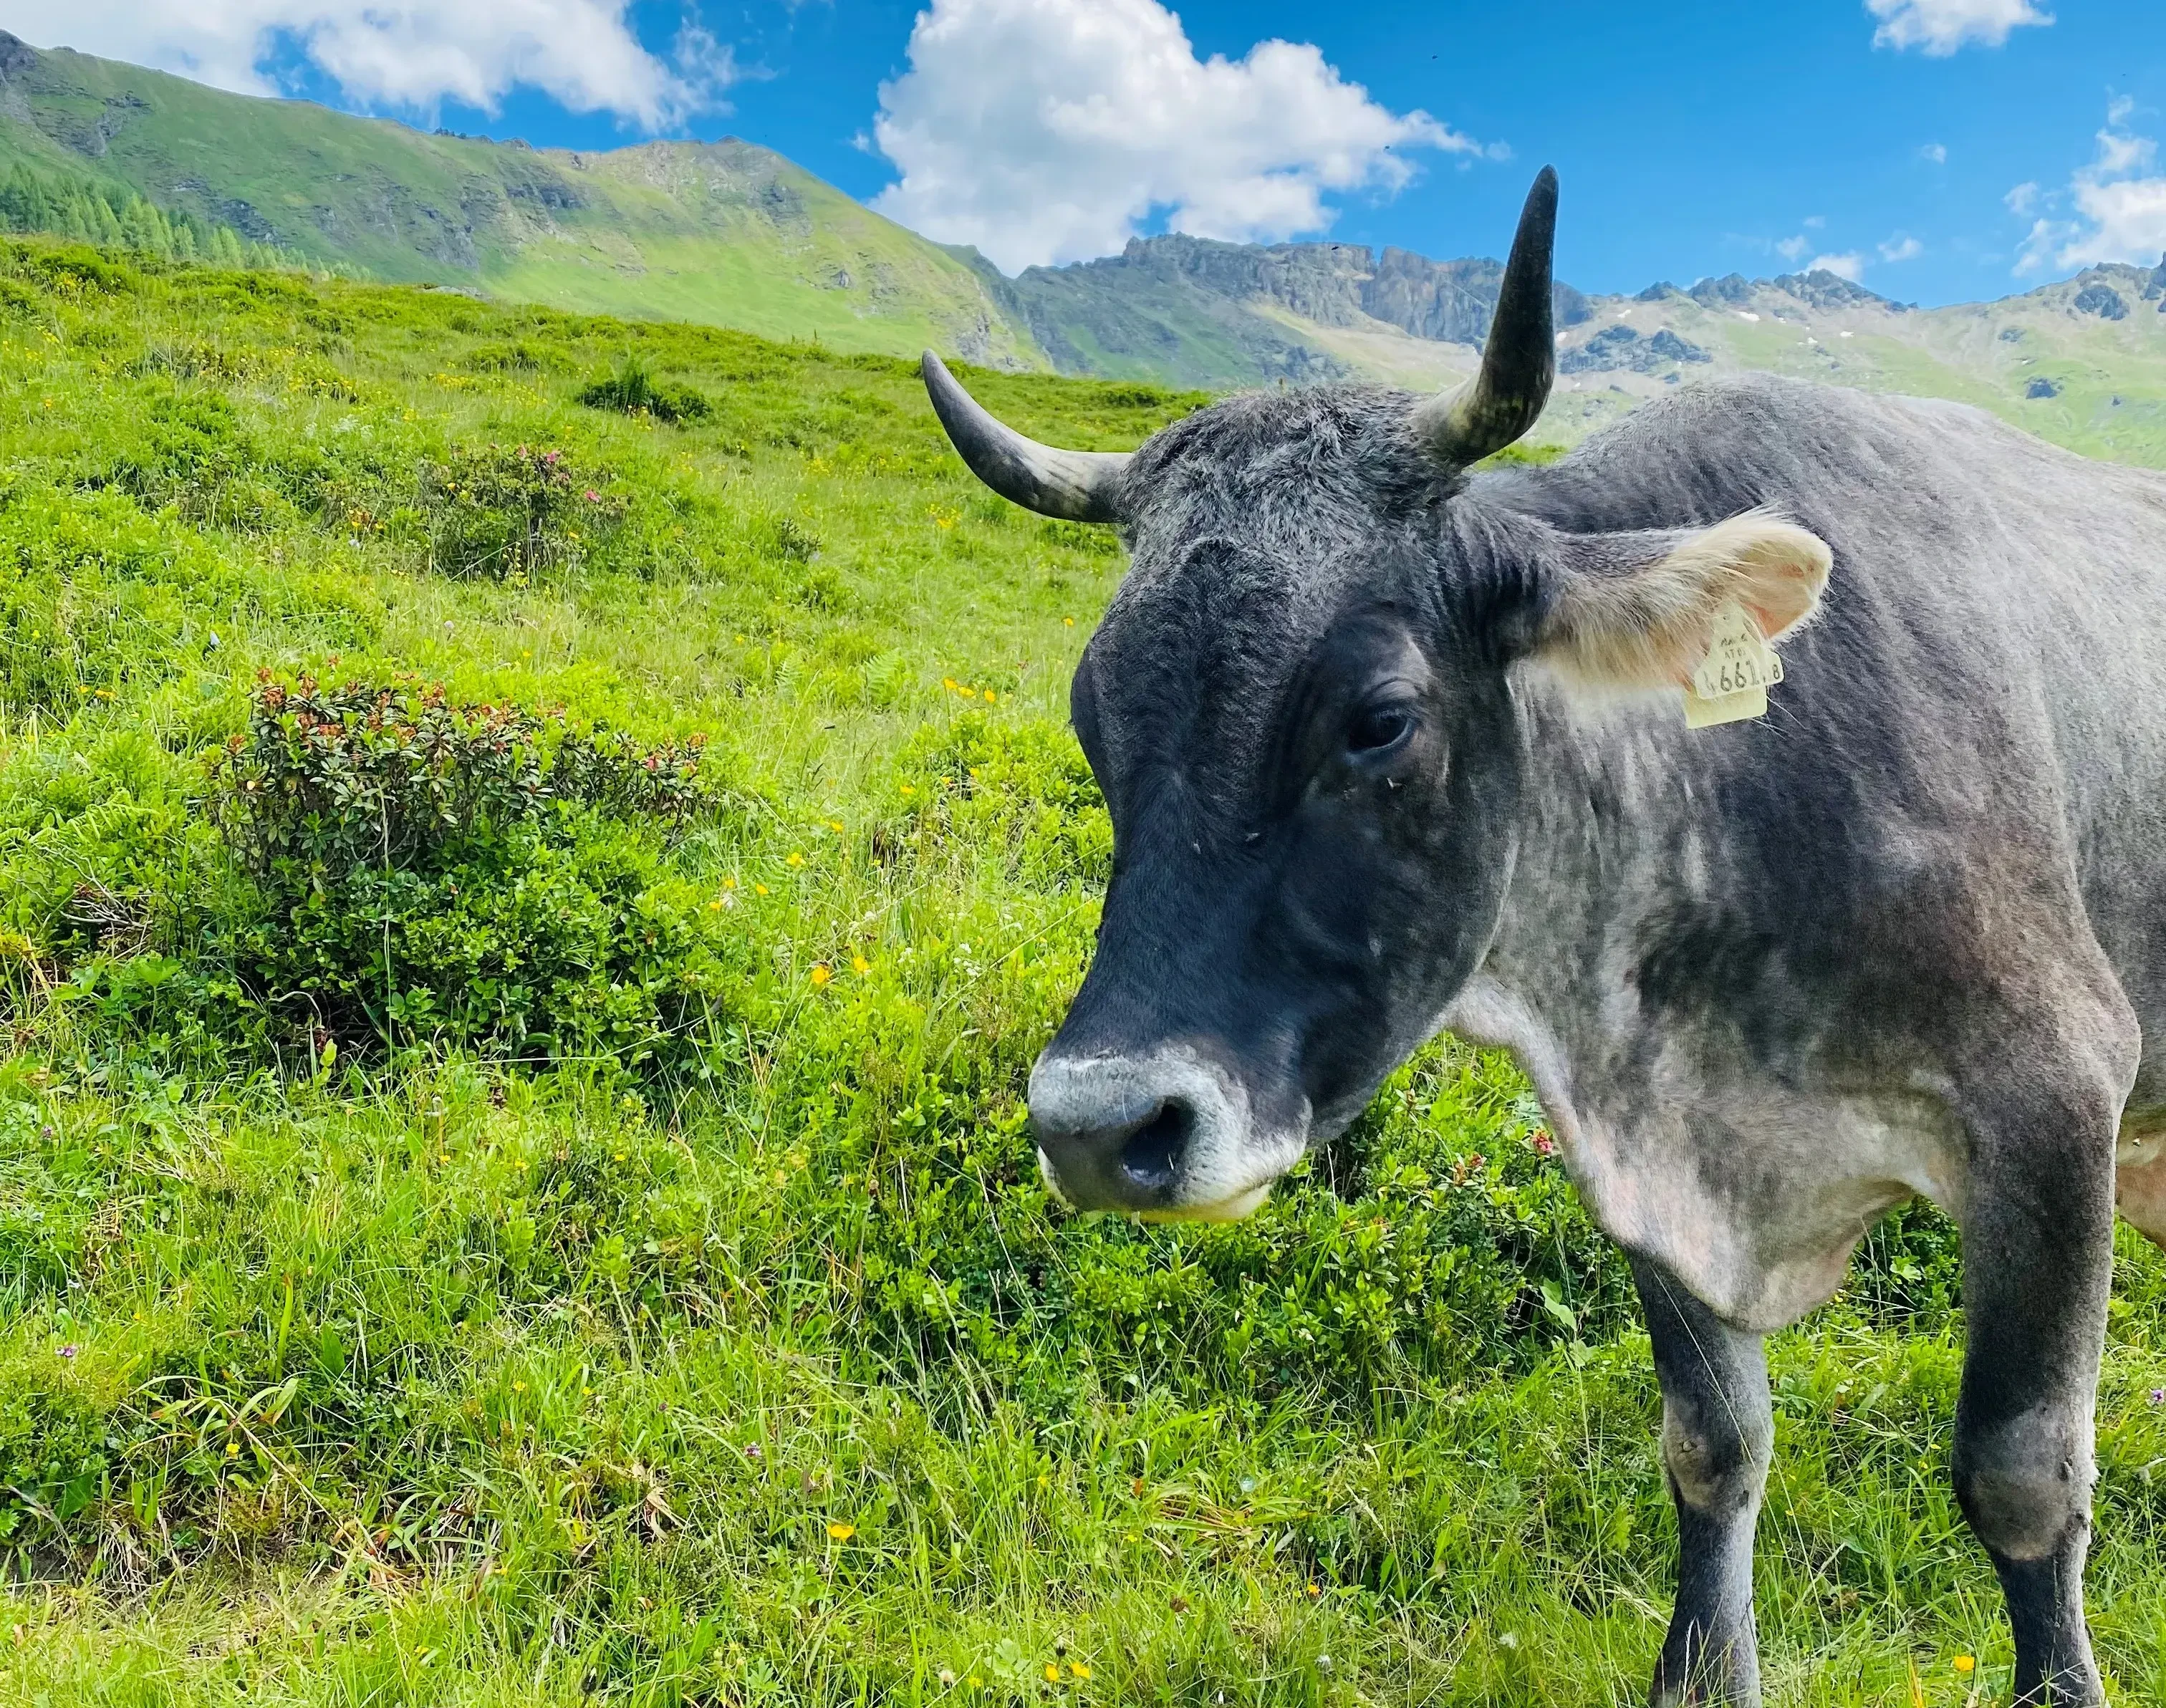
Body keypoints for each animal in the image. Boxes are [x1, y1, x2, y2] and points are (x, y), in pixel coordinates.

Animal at [923, 176, 2166, 1705]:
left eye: (1378, 718)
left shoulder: (2050, 1098)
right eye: (1093, 716)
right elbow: (1713, 1444)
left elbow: (2017, 1479)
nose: (1099, 1129)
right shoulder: (1635, 1137)